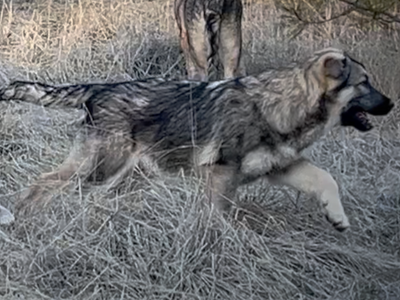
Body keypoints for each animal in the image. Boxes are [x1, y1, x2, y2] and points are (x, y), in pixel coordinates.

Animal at [0, 48, 394, 230]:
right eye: (365, 83)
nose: (392, 103)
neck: (282, 106)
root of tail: (100, 88)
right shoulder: (221, 173)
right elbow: (219, 215)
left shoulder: (281, 167)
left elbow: (326, 179)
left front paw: (337, 217)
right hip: (100, 169)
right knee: (44, 183)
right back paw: (24, 218)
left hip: (125, 175)